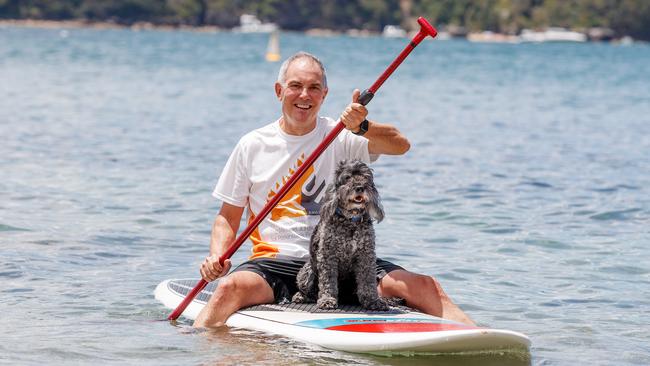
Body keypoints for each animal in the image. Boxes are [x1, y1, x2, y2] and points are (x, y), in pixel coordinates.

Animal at [292, 159, 388, 310]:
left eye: (365, 177)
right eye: (347, 177)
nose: (360, 187)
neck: (350, 221)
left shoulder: (366, 256)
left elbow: (368, 281)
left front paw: (373, 301)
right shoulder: (328, 256)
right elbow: (328, 281)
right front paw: (327, 300)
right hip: (306, 272)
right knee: (310, 290)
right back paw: (301, 296)